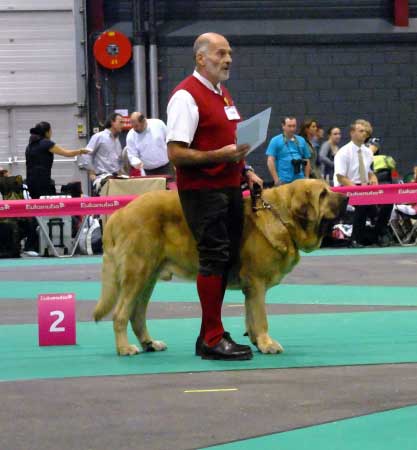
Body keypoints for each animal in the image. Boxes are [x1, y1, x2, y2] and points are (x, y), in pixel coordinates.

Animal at [94, 178, 348, 356]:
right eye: (323, 194)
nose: (346, 198)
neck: (281, 217)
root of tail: (119, 213)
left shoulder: (251, 288)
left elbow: (250, 316)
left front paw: (257, 341)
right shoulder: (256, 284)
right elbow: (261, 317)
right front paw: (267, 344)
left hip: (148, 277)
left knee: (137, 313)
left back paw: (149, 343)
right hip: (137, 273)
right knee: (120, 314)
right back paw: (125, 348)